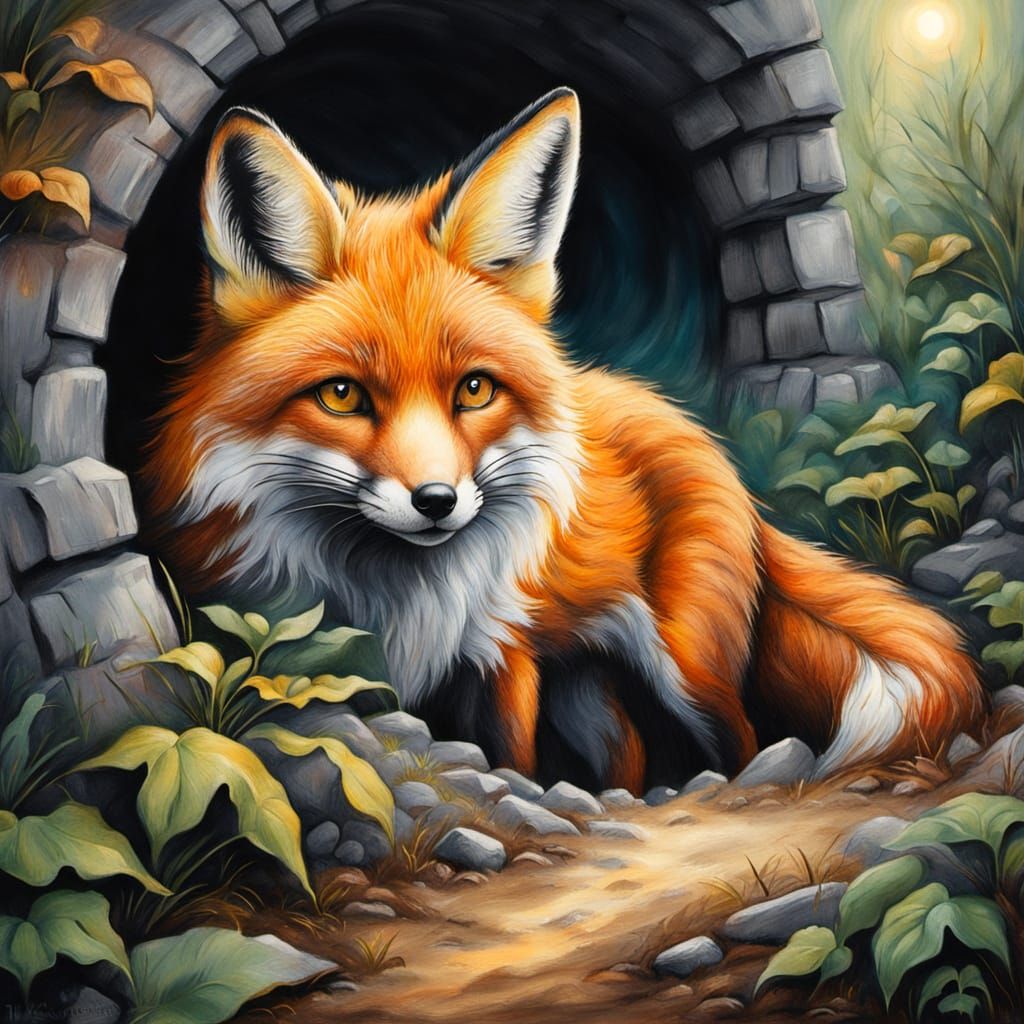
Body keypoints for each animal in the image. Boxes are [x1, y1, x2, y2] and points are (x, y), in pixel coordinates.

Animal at [144, 88, 985, 793]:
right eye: (343, 395)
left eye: (474, 390)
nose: (437, 501)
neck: (397, 595)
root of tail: (692, 429)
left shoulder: (501, 653)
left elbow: (513, 760)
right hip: (589, 685)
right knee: (630, 752)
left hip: (687, 663)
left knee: (741, 736)